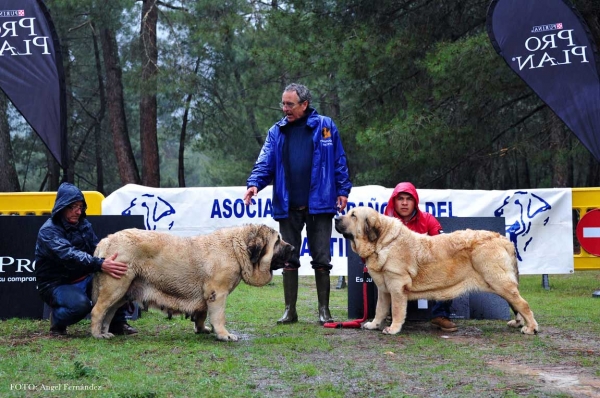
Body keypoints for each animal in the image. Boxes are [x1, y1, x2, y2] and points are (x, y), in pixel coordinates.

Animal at [91, 225, 292, 340]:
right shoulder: (217, 293)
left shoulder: (206, 296)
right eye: (278, 241)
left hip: (122, 292)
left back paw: (105, 332)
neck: (236, 248)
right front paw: (224, 335)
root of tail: (106, 239)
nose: (292, 247)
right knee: (98, 310)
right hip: (116, 286)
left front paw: (202, 329)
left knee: (108, 313)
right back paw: (96, 334)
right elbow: (219, 316)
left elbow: (202, 314)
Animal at [332, 208, 540, 336]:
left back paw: (530, 328)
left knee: (523, 304)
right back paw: (519, 323)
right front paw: (374, 324)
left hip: (499, 282)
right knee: (517, 304)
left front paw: (393, 328)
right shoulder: (384, 289)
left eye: (353, 215)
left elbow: (397, 310)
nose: (335, 218)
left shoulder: (397, 286)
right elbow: (380, 309)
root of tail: (503, 239)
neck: (382, 242)